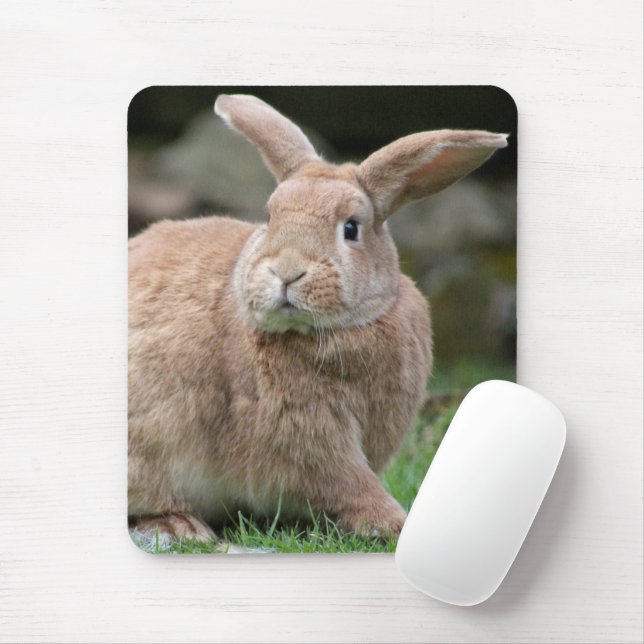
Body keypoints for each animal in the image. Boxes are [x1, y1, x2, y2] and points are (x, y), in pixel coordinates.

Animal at [128, 94, 507, 543]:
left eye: (351, 228)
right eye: (270, 217)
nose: (287, 271)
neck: (334, 332)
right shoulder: (307, 438)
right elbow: (347, 482)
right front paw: (393, 523)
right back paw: (180, 526)